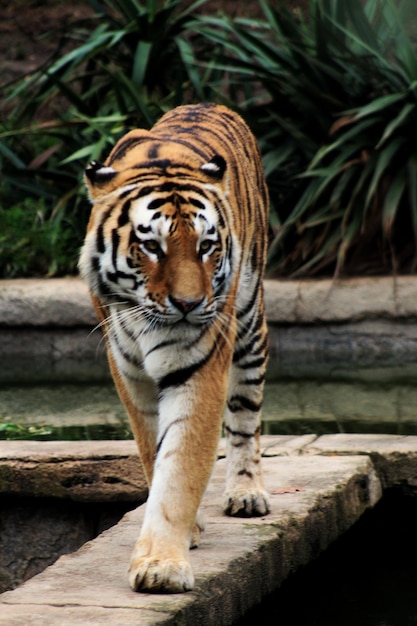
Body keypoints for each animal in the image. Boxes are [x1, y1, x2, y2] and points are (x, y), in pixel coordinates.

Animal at [78, 102, 270, 588]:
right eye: (151, 246)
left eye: (206, 246)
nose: (189, 304)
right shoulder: (127, 371)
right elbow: (155, 452)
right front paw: (184, 536)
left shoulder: (197, 369)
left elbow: (180, 465)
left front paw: (161, 566)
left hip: (249, 325)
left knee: (245, 417)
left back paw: (247, 491)